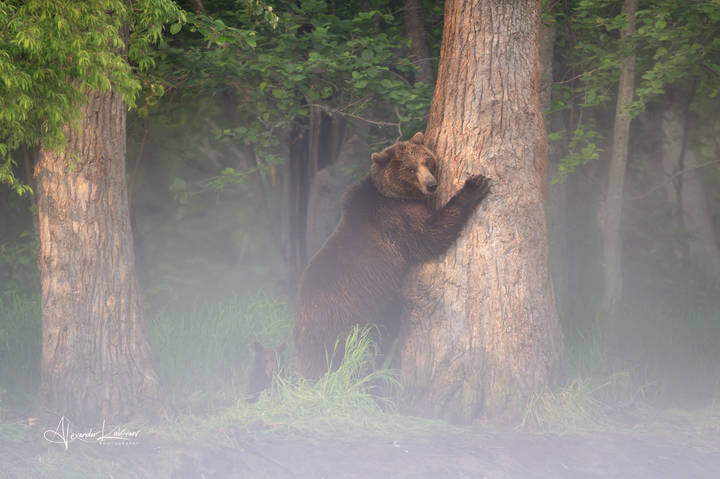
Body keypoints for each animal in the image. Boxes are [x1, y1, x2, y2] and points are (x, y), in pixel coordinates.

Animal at [292, 131, 490, 378]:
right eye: (410, 169)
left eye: (426, 161)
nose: (431, 184)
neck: (393, 194)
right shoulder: (396, 219)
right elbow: (431, 235)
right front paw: (474, 186)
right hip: (340, 318)